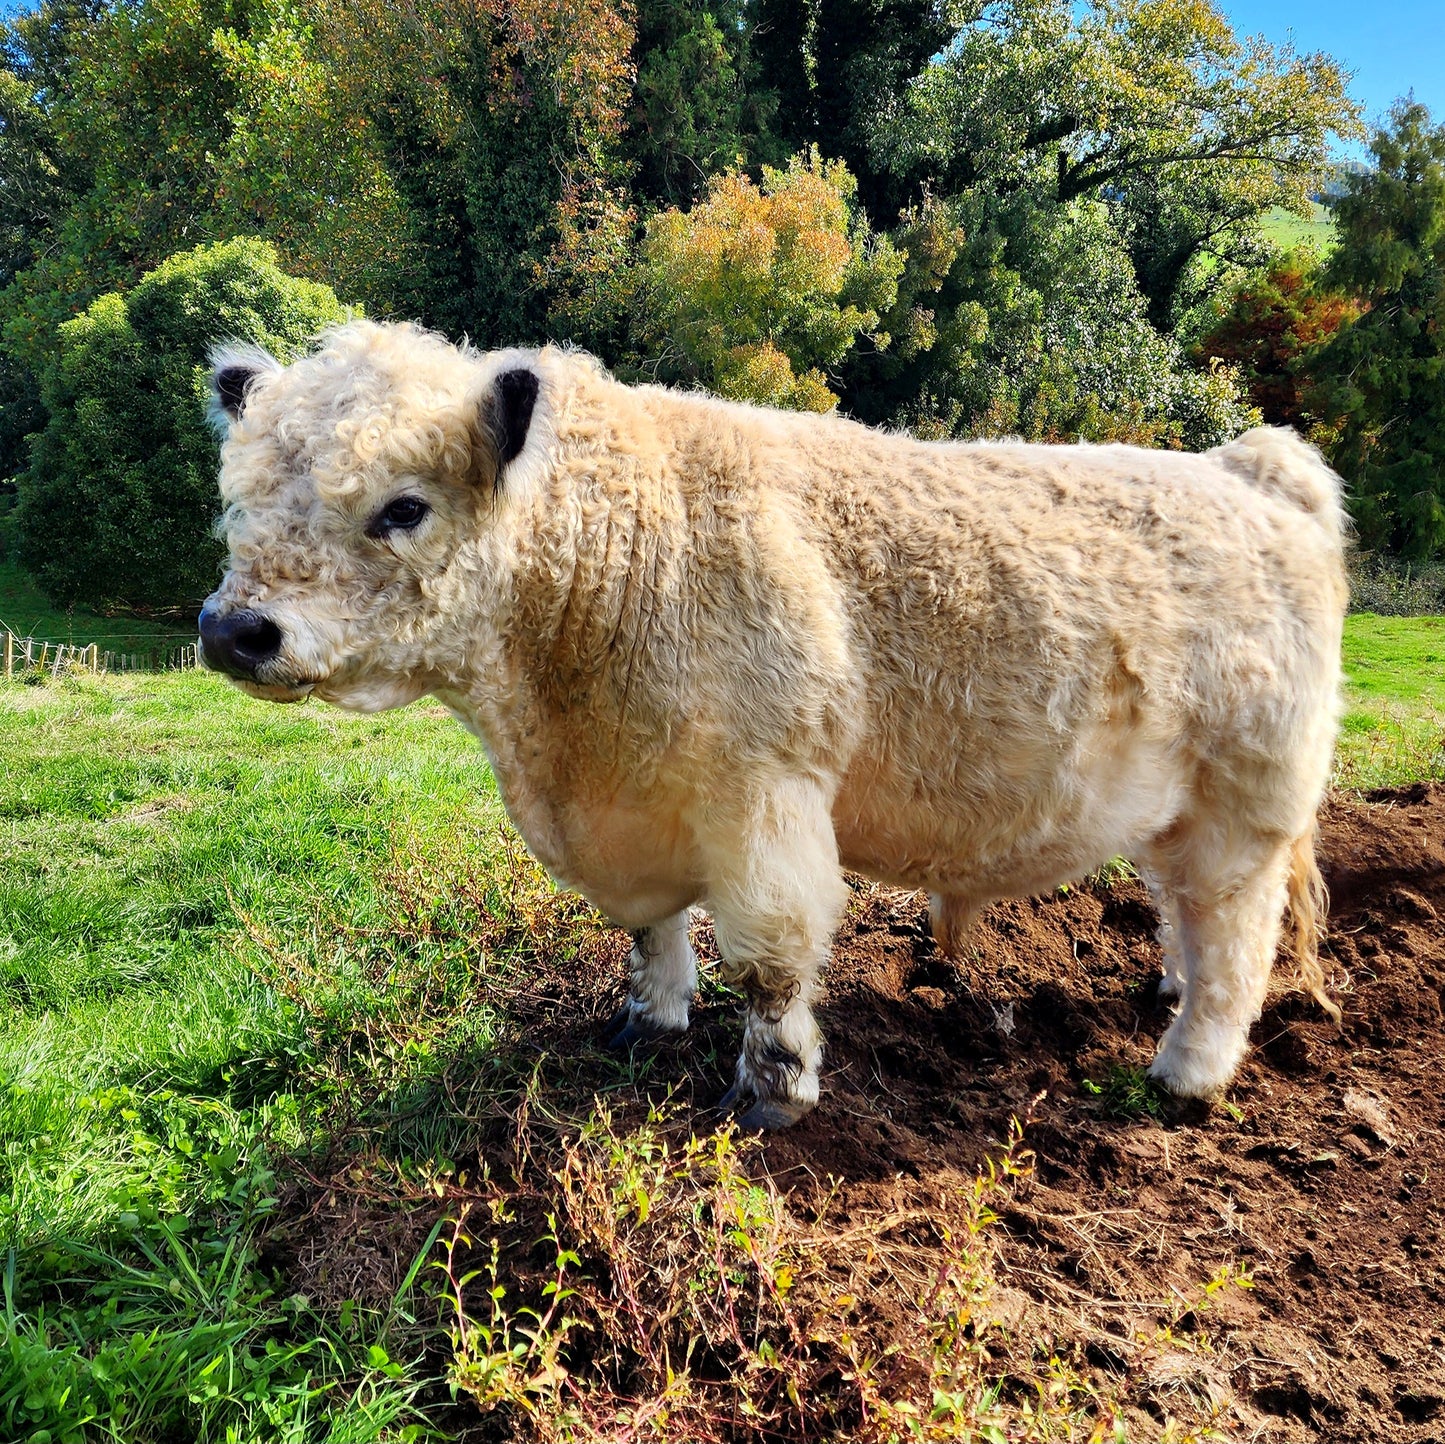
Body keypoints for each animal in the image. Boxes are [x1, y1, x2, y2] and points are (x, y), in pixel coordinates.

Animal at [197, 322, 1346, 1133]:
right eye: (241, 499)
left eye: (402, 508)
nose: (233, 629)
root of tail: (1243, 468)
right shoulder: (635, 818)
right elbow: (651, 931)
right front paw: (649, 1021)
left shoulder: (761, 798)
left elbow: (769, 957)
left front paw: (771, 1089)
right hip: (1176, 810)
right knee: (1180, 913)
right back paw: (1165, 985)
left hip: (1246, 805)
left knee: (1234, 936)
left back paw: (1187, 1071)